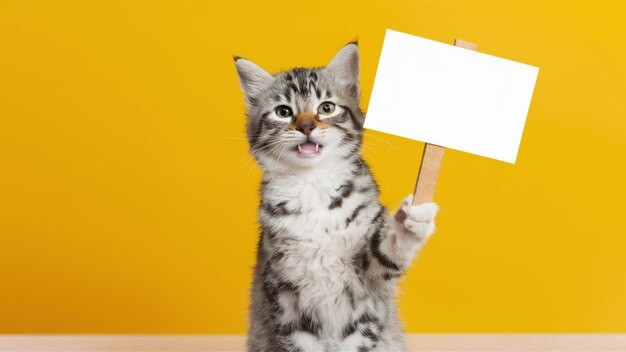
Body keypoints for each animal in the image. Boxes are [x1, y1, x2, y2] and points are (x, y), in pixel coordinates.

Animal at [235, 42, 438, 350]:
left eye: (326, 108)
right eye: (283, 111)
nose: (306, 126)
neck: (313, 186)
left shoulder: (369, 280)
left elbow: (388, 251)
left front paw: (411, 220)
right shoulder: (285, 296)